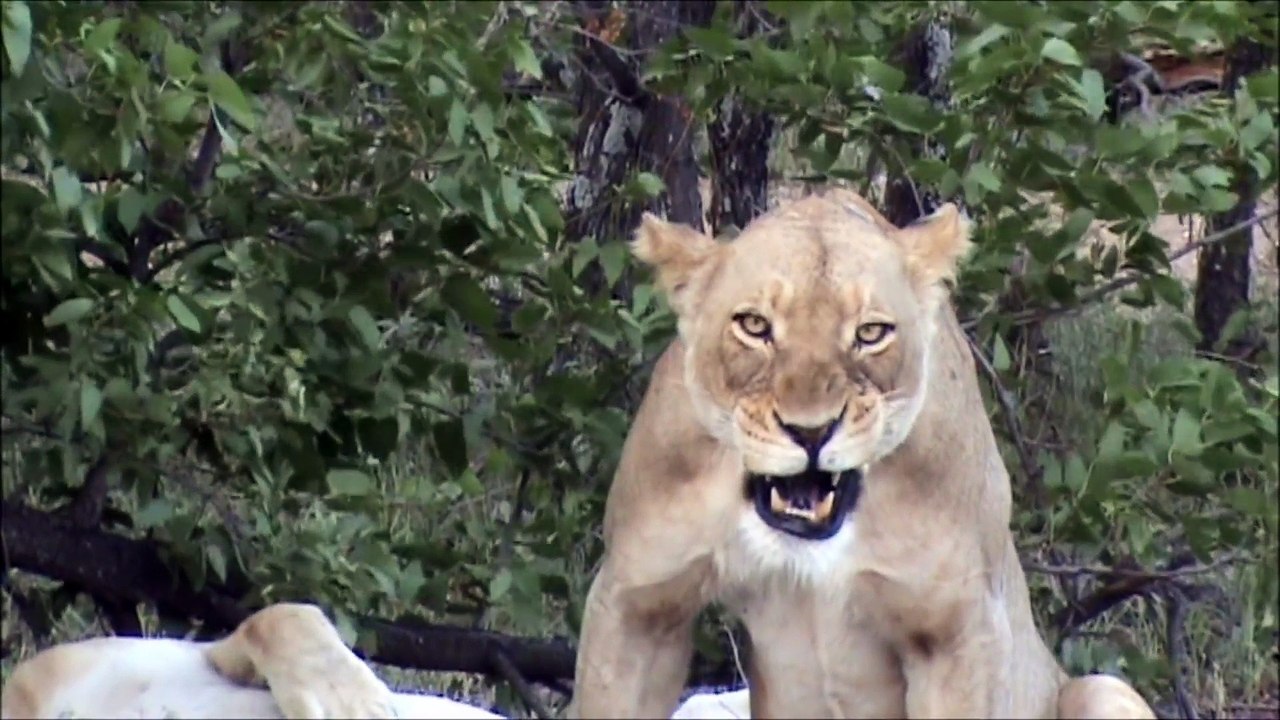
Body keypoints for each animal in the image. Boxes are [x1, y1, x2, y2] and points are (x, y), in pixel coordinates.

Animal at [566, 189, 1156, 719]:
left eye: (871, 332)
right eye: (754, 325)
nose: (810, 431)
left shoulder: (956, 630)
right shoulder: (637, 604)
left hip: (1101, 689)